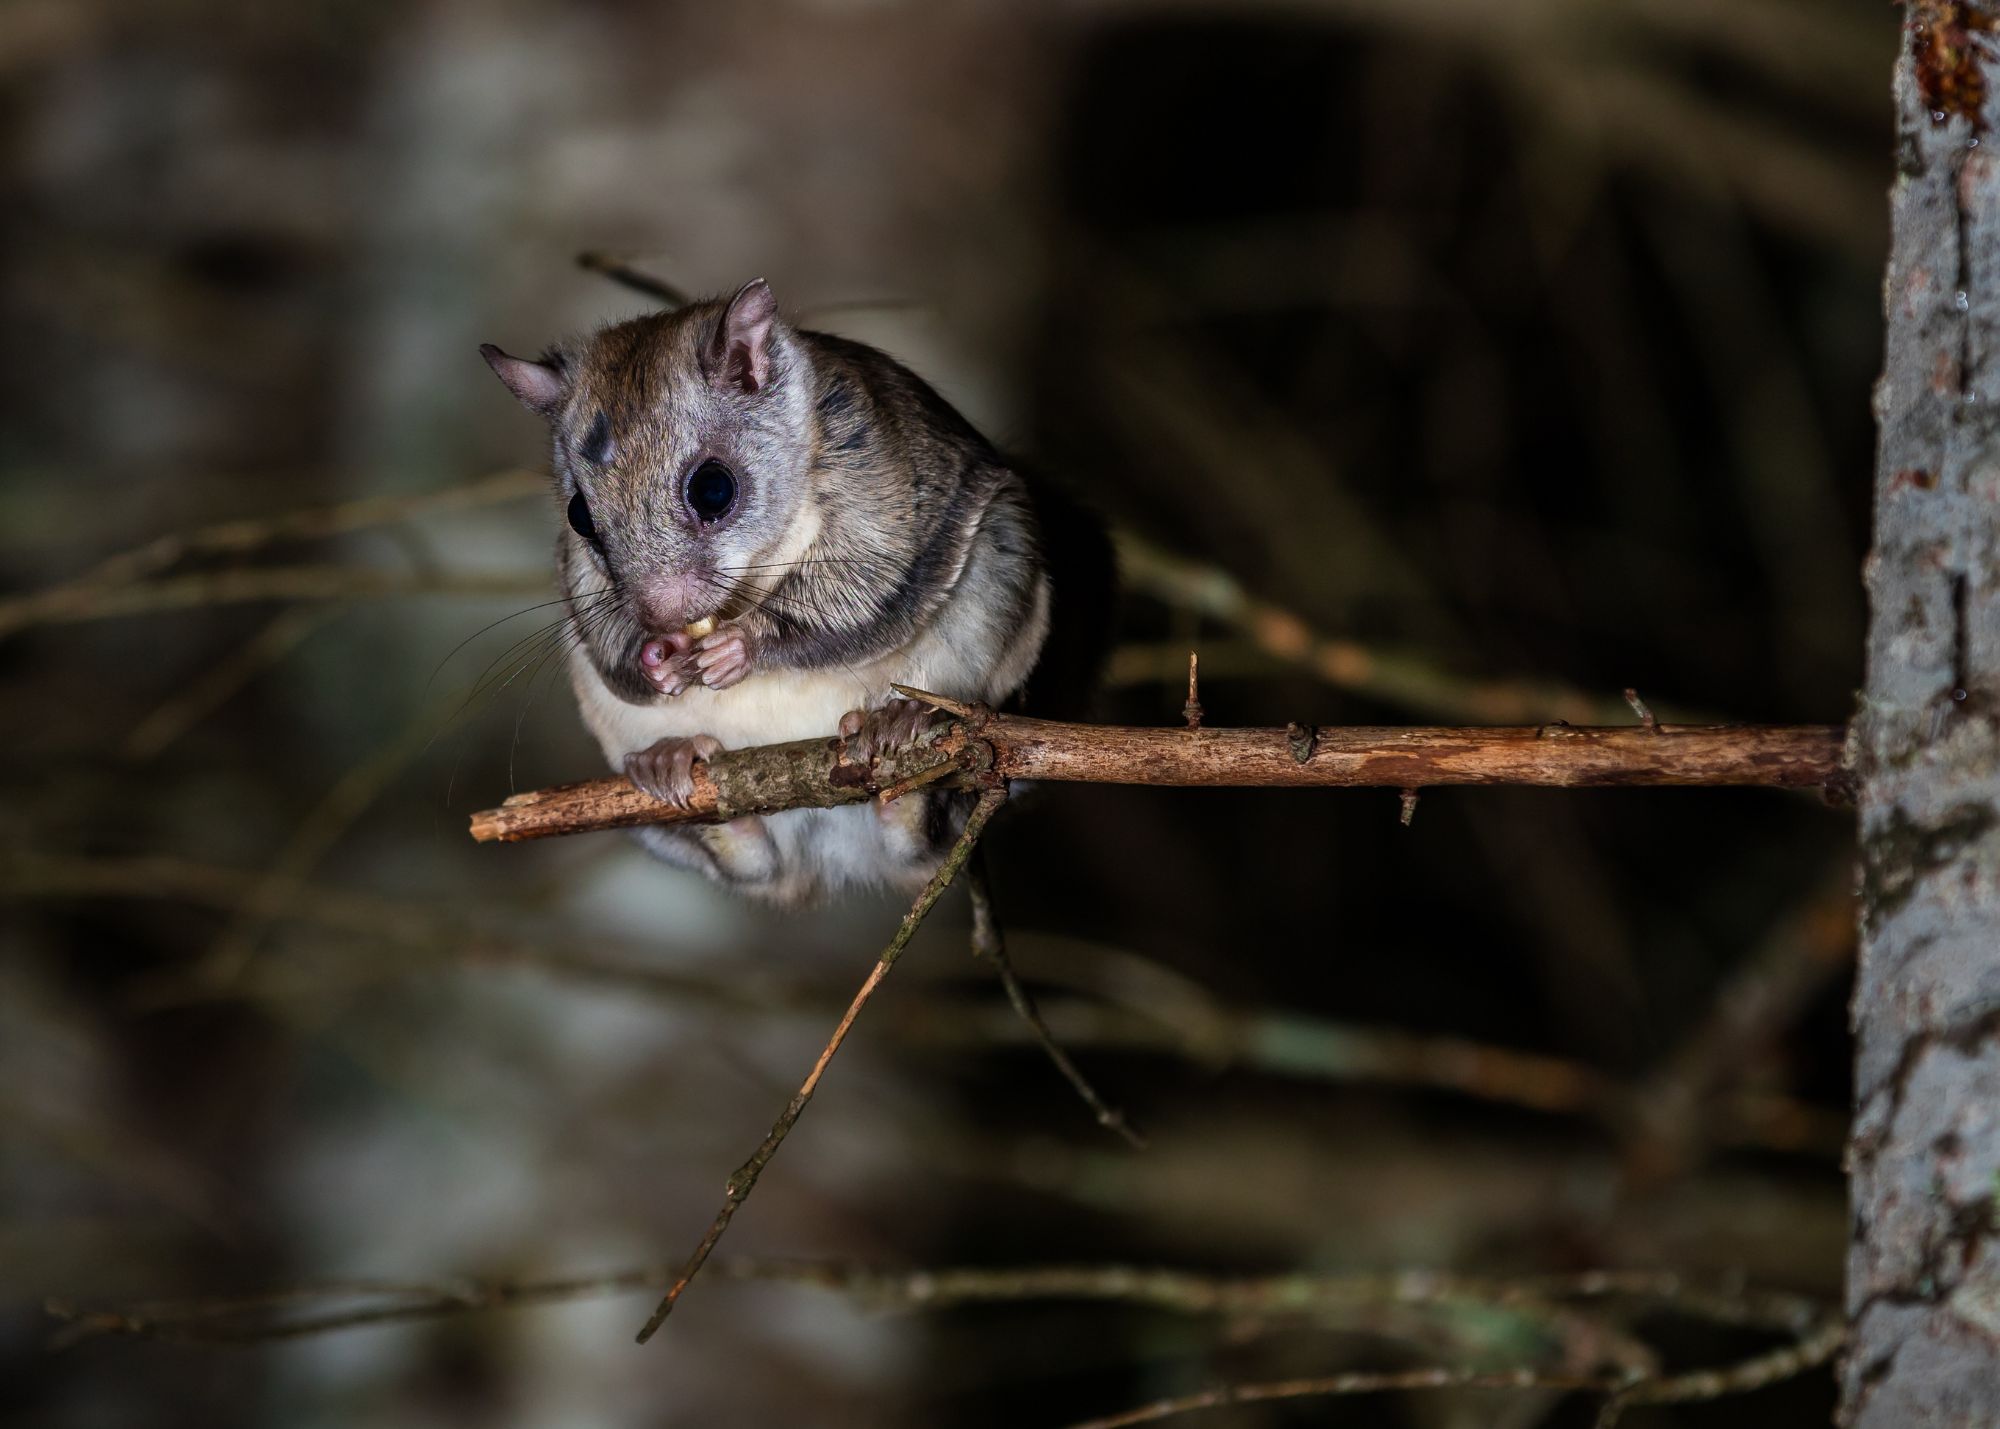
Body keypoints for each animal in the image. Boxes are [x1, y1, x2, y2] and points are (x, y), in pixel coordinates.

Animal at [482, 279, 1110, 906]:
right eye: (579, 516)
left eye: (713, 489)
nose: (660, 616)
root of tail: (837, 854)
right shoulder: (581, 586)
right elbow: (611, 647)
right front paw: (654, 660)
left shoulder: (875, 492)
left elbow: (852, 603)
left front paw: (739, 647)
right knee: (756, 865)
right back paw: (677, 769)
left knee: (923, 837)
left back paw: (898, 732)